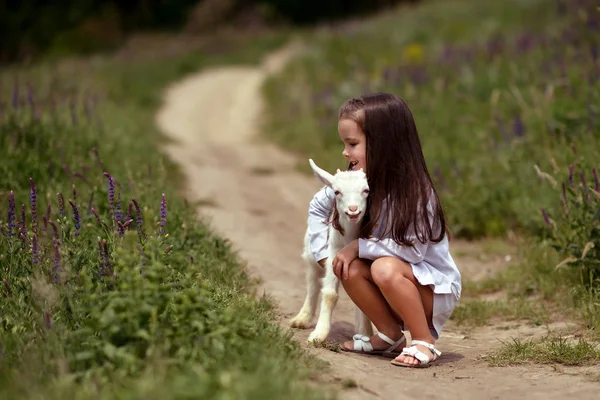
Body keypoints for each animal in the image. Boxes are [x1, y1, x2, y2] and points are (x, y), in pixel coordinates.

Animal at [290, 159, 372, 344]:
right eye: (337, 192)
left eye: (366, 190)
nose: (353, 210)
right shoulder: (335, 253)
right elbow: (329, 294)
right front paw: (318, 335)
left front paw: (366, 334)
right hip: (312, 257)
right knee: (313, 284)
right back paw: (302, 318)